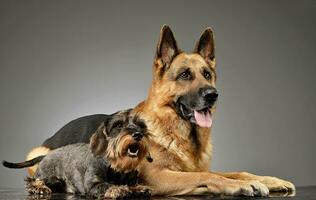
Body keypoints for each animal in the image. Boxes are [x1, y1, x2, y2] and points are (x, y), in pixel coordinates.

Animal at [10, 25, 296, 197]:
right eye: (184, 75)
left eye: (207, 74)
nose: (212, 95)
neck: (179, 134)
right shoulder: (159, 177)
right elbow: (207, 175)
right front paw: (240, 185)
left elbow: (232, 171)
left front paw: (266, 179)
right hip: (36, 154)